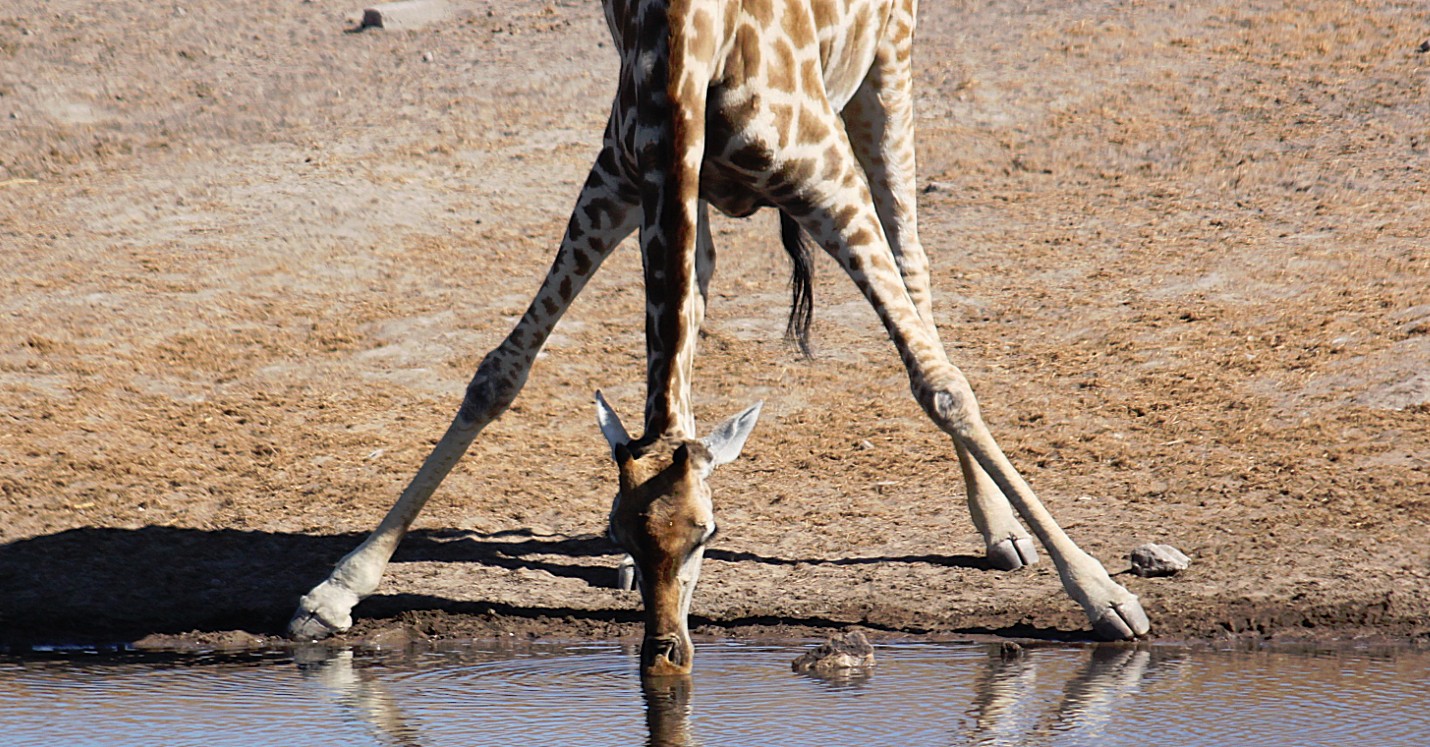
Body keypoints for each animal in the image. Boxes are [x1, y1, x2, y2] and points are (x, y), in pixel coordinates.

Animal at [287, 0, 1149, 675]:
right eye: (625, 529)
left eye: (712, 532)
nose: (663, 652)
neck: (691, 44)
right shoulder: (625, 174)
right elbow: (502, 369)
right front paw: (335, 589)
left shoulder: (827, 181)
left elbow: (938, 382)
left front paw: (1106, 595)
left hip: (888, 69)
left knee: (916, 268)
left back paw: (1000, 531)